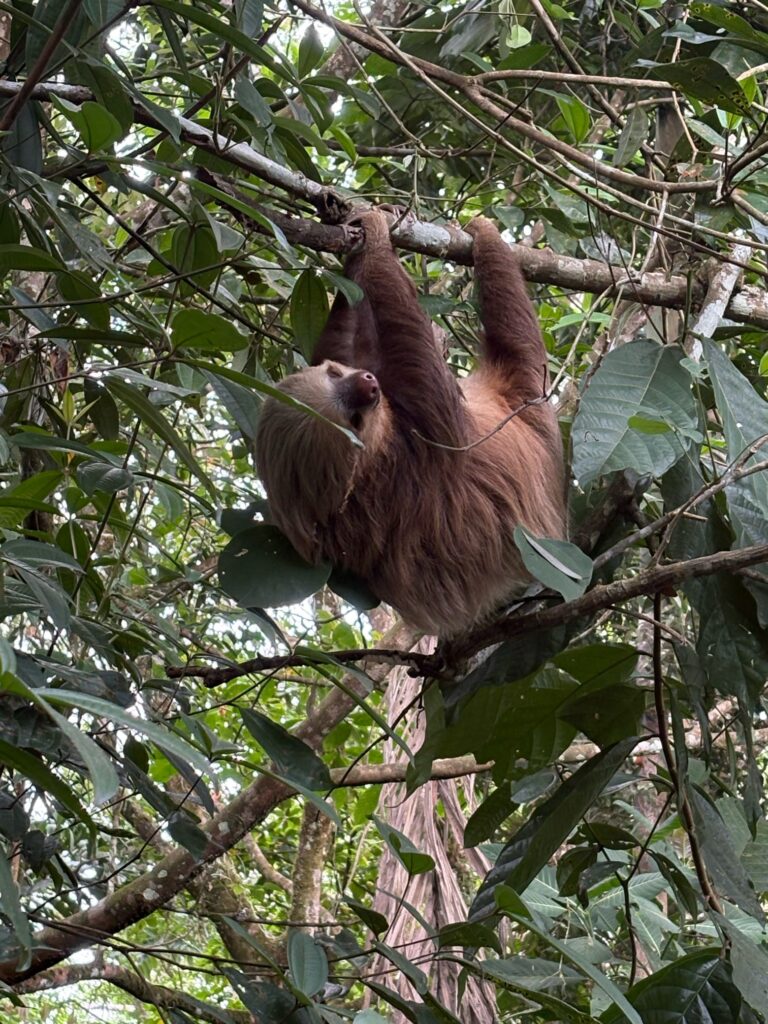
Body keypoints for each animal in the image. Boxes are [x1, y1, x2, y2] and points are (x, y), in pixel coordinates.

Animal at [255, 210, 566, 636]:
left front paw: (358, 226)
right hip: (530, 409)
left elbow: (348, 339)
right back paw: (486, 235)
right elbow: (415, 351)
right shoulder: (416, 455)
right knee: (517, 339)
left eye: (334, 374)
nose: (368, 385)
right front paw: (377, 232)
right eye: (353, 420)